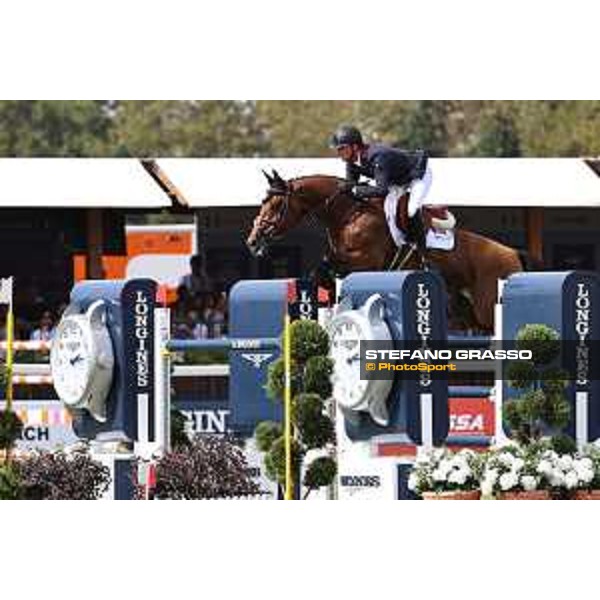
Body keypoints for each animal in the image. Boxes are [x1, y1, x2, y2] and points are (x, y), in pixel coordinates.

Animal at [244, 170, 524, 332]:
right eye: (263, 201)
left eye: (276, 204)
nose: (253, 240)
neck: (349, 214)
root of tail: (512, 253)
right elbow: (322, 270)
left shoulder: (366, 261)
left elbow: (328, 269)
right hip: (472, 314)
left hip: (487, 308)